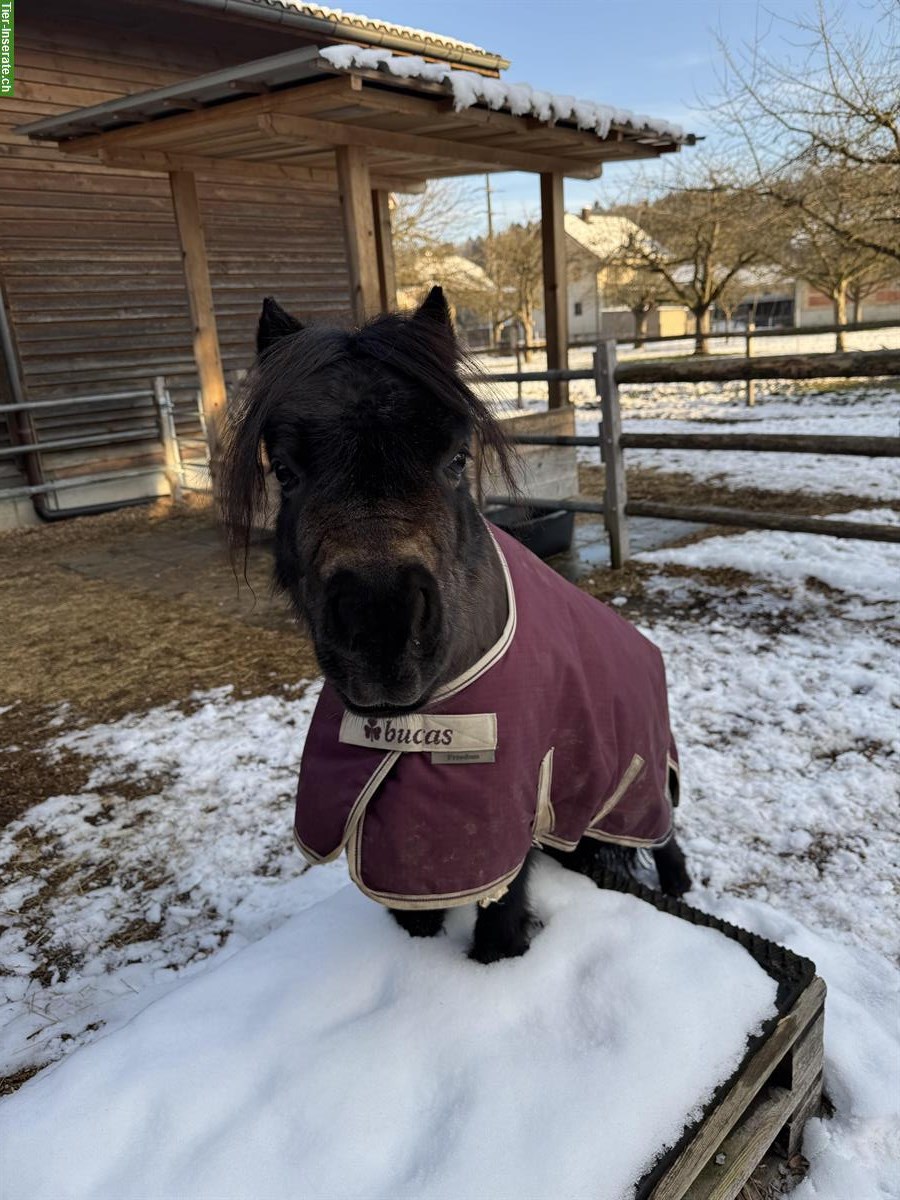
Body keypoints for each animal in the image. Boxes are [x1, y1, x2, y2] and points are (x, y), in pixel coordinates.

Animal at [218, 290, 691, 964]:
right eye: (284, 470)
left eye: (456, 459)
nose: (382, 632)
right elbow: (415, 905)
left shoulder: (505, 799)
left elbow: (502, 908)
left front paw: (497, 959)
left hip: (642, 781)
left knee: (664, 835)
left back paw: (678, 885)